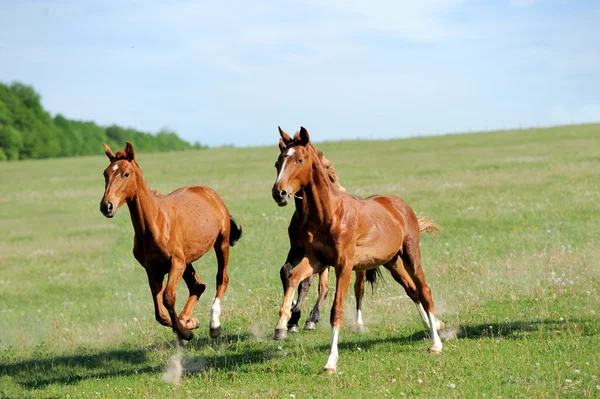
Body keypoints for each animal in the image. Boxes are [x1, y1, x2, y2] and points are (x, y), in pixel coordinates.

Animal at [99, 142, 241, 342]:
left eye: (126, 174)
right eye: (105, 174)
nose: (107, 206)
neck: (154, 225)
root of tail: (211, 194)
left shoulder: (176, 262)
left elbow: (168, 297)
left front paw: (185, 331)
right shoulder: (153, 270)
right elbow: (160, 314)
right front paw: (187, 325)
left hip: (220, 244)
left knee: (221, 279)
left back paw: (214, 326)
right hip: (188, 260)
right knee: (198, 286)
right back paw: (189, 320)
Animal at [272, 128, 440, 376]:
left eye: (299, 160)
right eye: (278, 162)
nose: (279, 193)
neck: (329, 214)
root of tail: (400, 205)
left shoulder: (344, 264)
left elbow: (336, 310)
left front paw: (330, 362)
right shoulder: (315, 260)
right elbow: (293, 276)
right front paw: (282, 325)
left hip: (411, 254)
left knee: (424, 290)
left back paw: (436, 344)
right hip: (392, 262)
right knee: (412, 290)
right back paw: (432, 326)